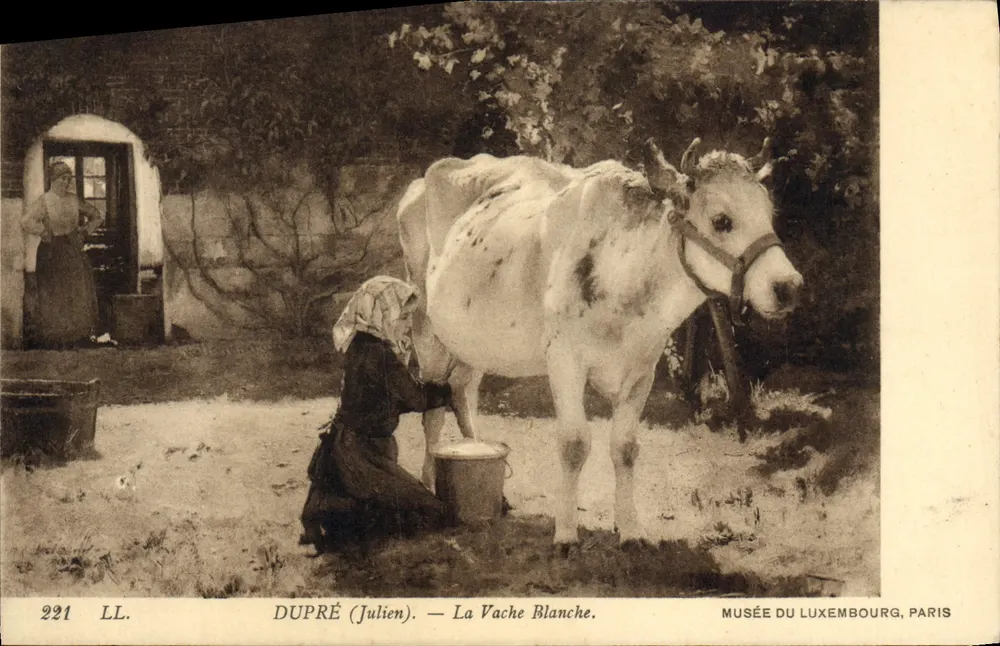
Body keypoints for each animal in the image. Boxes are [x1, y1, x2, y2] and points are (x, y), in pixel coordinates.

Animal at [397, 138, 803, 551]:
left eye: (769, 214)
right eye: (722, 220)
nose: (789, 286)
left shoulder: (643, 369)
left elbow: (625, 447)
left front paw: (630, 529)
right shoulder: (564, 361)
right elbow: (574, 444)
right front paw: (565, 533)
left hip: (474, 343)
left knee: (464, 396)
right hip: (427, 331)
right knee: (433, 411)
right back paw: (430, 483)